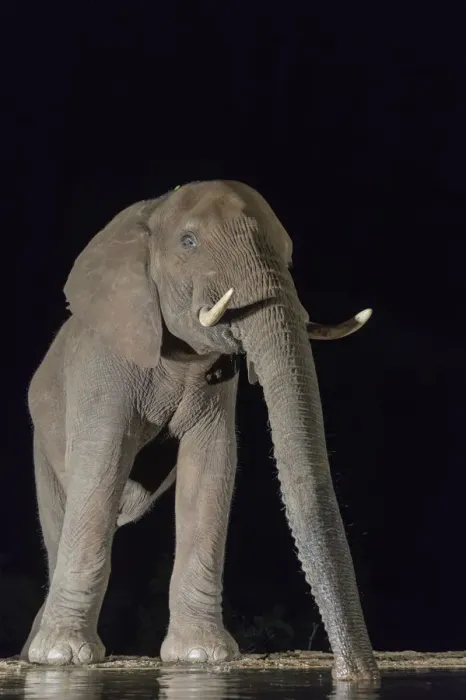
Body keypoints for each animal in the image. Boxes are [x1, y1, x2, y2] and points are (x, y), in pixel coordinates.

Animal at [22, 180, 378, 681]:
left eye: (288, 255)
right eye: (188, 242)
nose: (354, 675)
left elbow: (211, 466)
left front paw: (201, 656)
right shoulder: (104, 367)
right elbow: (100, 467)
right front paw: (62, 658)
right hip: (41, 437)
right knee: (62, 512)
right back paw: (40, 649)